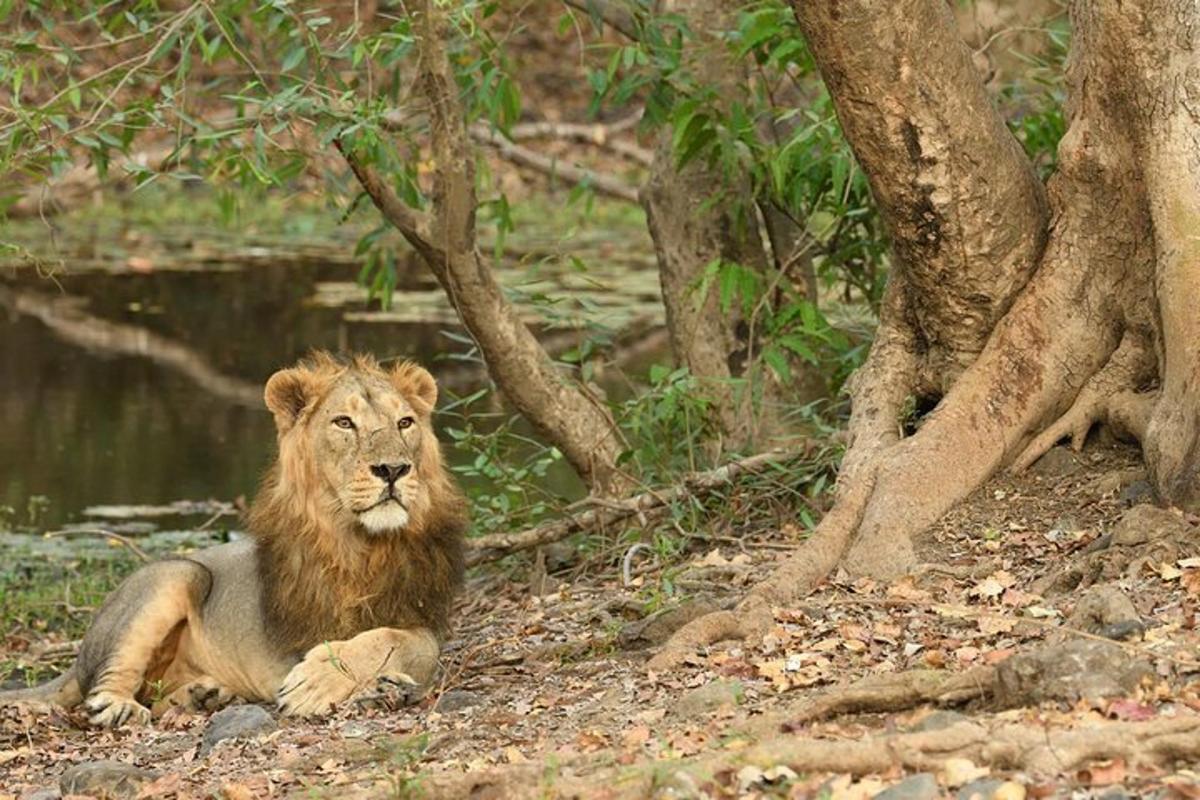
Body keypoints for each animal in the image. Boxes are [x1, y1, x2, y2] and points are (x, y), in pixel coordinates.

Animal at [0, 352, 465, 729]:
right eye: (344, 423)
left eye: (404, 422)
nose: (394, 469)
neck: (366, 543)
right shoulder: (301, 632)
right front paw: (322, 683)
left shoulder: (420, 614)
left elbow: (401, 640)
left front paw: (381, 684)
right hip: (176, 574)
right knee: (103, 686)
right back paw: (121, 707)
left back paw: (203, 697)